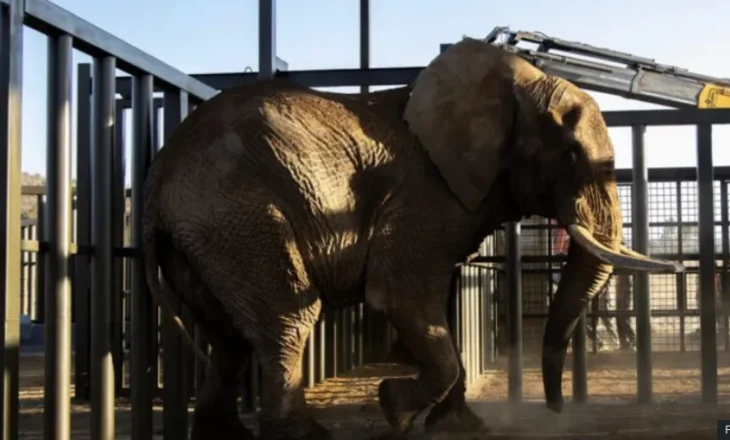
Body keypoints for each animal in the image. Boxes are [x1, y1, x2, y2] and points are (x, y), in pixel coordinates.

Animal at [144, 38, 684, 440]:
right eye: (570, 155)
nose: (555, 411)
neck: (513, 83)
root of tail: (159, 173)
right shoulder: (424, 194)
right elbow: (400, 297)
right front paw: (394, 409)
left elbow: (437, 311)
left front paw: (466, 427)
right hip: (240, 212)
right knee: (288, 318)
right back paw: (306, 435)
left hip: (206, 233)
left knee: (226, 334)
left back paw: (224, 435)